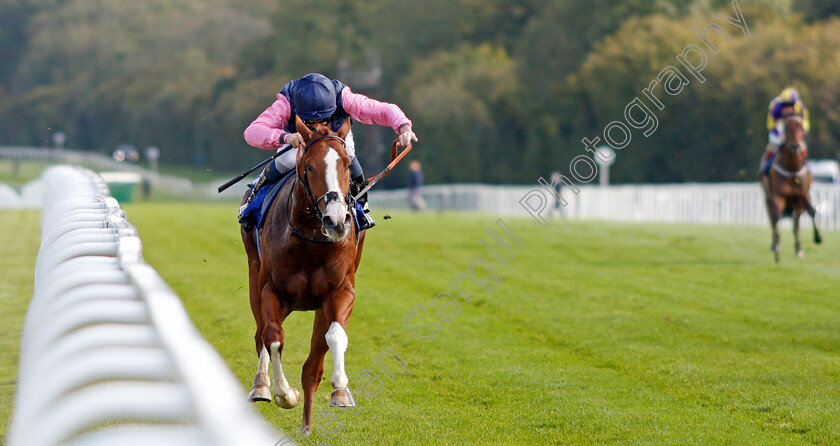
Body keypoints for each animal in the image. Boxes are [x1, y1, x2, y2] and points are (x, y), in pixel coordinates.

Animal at [240, 116, 364, 434]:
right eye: (309, 166)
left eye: (347, 164)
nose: (336, 220)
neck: (311, 240)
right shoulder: (272, 290)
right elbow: (273, 338)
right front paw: (285, 395)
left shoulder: (341, 290)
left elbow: (334, 336)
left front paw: (340, 390)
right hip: (254, 275)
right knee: (261, 333)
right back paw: (261, 386)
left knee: (313, 364)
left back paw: (308, 425)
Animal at [764, 114, 824, 262]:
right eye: (786, 127)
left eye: (801, 127)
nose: (795, 146)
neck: (791, 169)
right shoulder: (778, 196)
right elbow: (777, 217)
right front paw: (777, 249)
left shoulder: (802, 196)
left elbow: (812, 212)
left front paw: (818, 237)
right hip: (768, 198)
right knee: (774, 219)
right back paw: (775, 245)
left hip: (797, 204)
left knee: (796, 224)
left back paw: (798, 248)